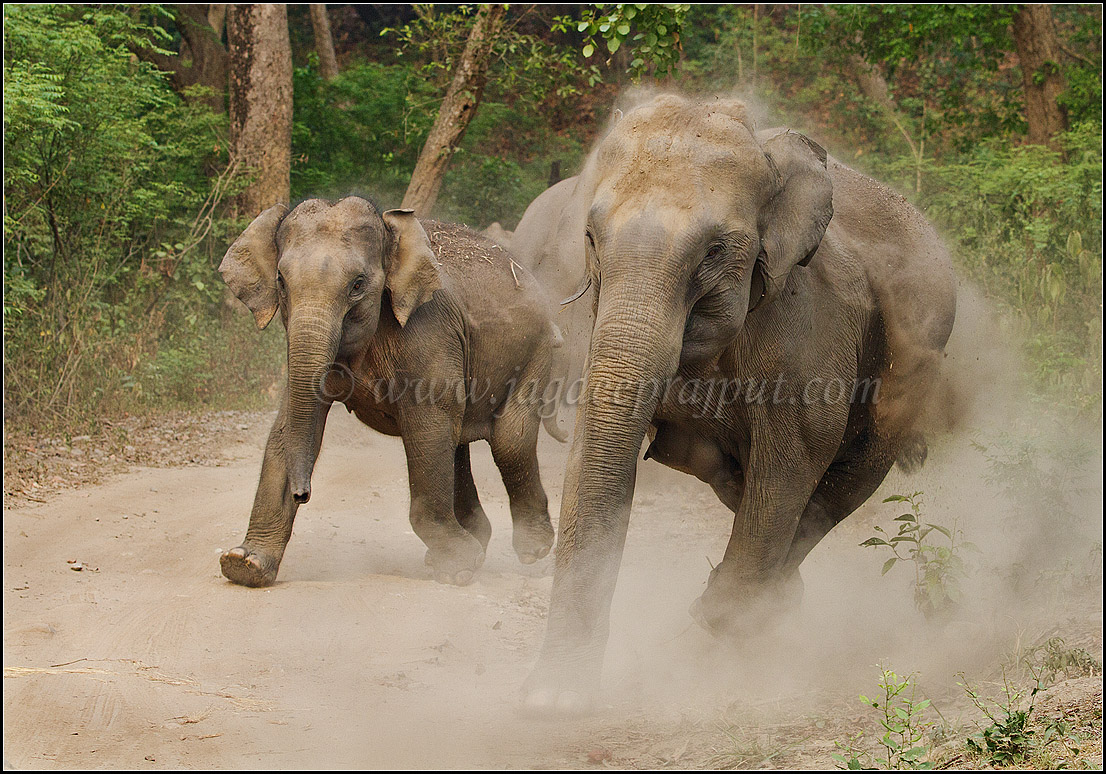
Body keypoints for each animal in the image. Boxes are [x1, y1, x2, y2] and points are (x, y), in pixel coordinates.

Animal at [217, 197, 566, 588]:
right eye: (280, 281)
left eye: (357, 284)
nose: (301, 493)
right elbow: (286, 428)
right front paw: (244, 564)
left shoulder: (427, 331)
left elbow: (427, 424)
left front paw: (458, 568)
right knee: (459, 441)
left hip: (536, 351)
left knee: (509, 439)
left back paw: (532, 550)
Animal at [520, 93, 957, 713]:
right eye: (590, 237)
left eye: (715, 250)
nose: (552, 696)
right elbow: (597, 447)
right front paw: (552, 700)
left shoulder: (806, 322)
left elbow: (794, 456)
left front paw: (718, 621)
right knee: (737, 478)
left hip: (914, 363)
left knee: (842, 481)